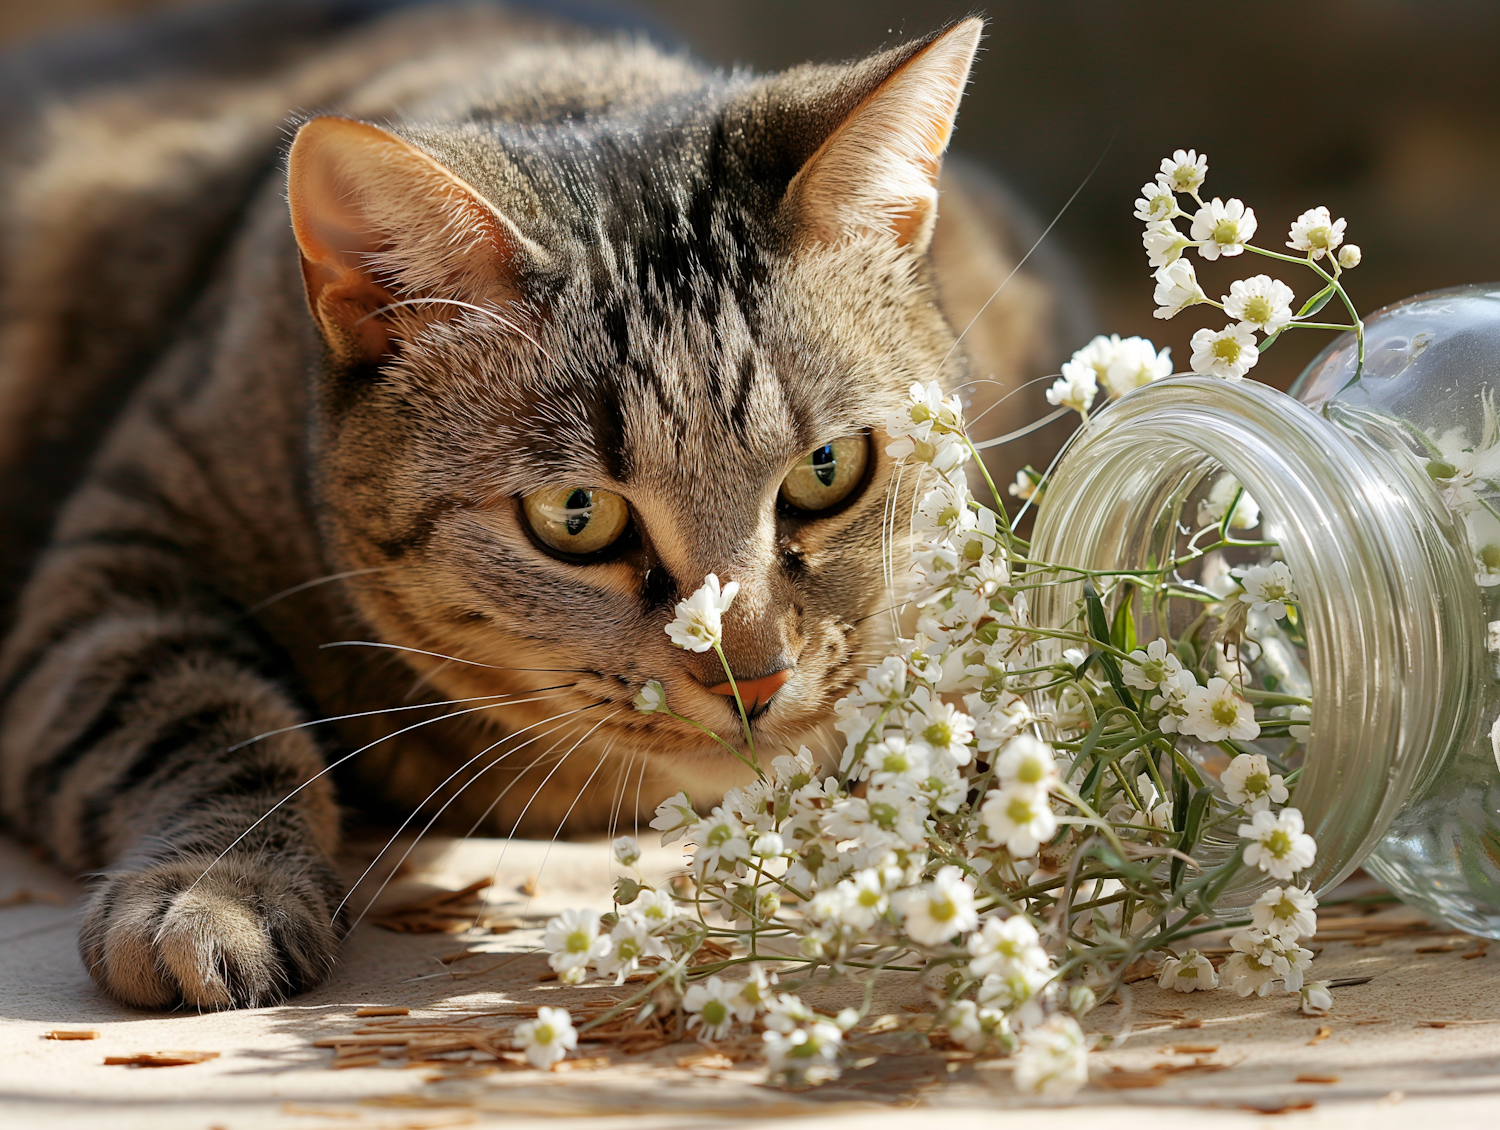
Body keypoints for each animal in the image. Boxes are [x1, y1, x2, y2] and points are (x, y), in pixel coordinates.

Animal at [0, 0, 1080, 1002]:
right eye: (576, 516)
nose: (754, 680)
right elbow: (204, 717)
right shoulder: (112, 564)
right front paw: (216, 888)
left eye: (827, 467)